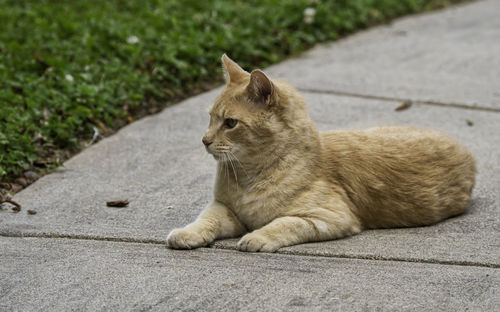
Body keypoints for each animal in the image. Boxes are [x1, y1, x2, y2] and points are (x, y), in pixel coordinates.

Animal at [166, 54, 474, 252]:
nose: (204, 140)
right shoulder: (224, 209)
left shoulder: (328, 217)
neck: (248, 177)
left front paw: (257, 237)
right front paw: (187, 233)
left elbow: (282, 223)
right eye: (210, 118)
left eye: (230, 123)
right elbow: (204, 220)